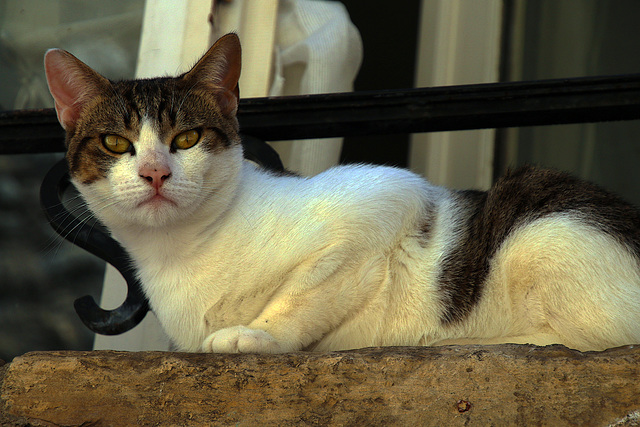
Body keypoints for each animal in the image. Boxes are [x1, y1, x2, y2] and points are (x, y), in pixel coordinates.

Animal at [43, 33, 640, 354]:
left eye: (185, 139)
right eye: (116, 143)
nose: (155, 173)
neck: (179, 253)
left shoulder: (384, 199)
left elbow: (304, 294)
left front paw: (255, 336)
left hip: (547, 234)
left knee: (582, 340)